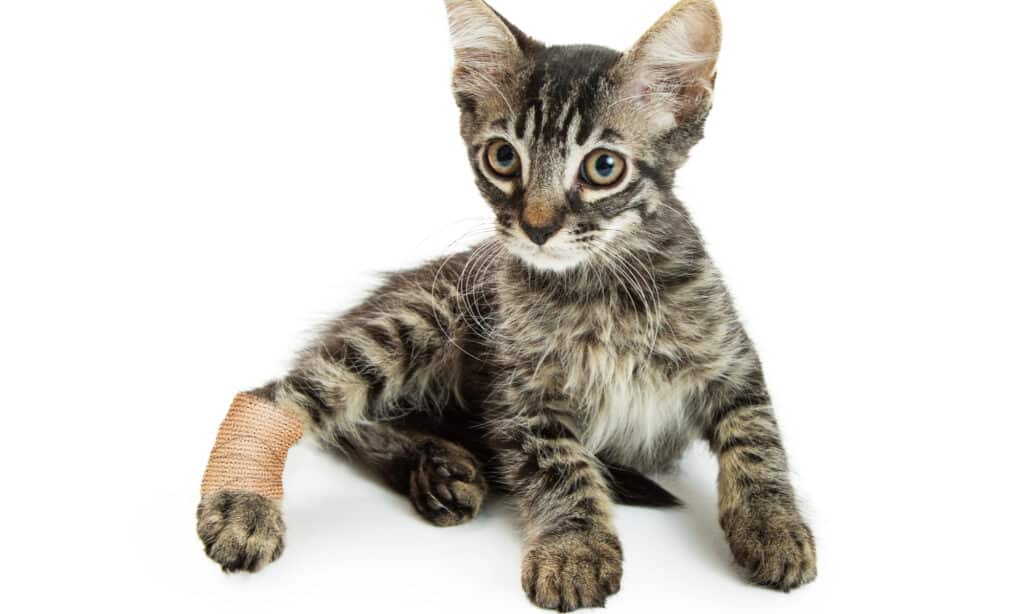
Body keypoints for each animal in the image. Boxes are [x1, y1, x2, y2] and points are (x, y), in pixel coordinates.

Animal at [197, 0, 815, 609]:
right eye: (502, 158)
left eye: (603, 167)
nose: (537, 228)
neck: (599, 286)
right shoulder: (522, 399)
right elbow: (562, 466)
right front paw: (573, 548)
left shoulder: (734, 365)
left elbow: (758, 444)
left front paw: (774, 527)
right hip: (425, 315)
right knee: (288, 399)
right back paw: (246, 499)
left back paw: (440, 469)